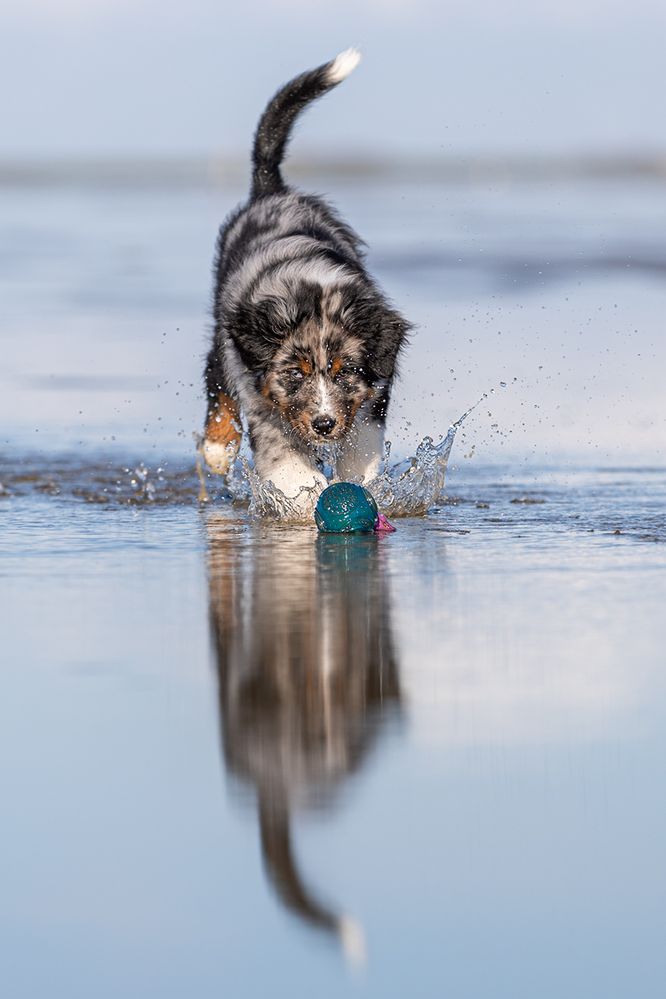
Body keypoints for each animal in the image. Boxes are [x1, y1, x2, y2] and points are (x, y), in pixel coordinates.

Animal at [202, 48, 410, 508]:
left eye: (346, 371)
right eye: (294, 374)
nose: (324, 424)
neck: (309, 287)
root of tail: (272, 190)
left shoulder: (373, 393)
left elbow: (361, 443)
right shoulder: (259, 391)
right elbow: (284, 456)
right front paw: (302, 494)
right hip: (224, 336)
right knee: (215, 380)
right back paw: (216, 449)